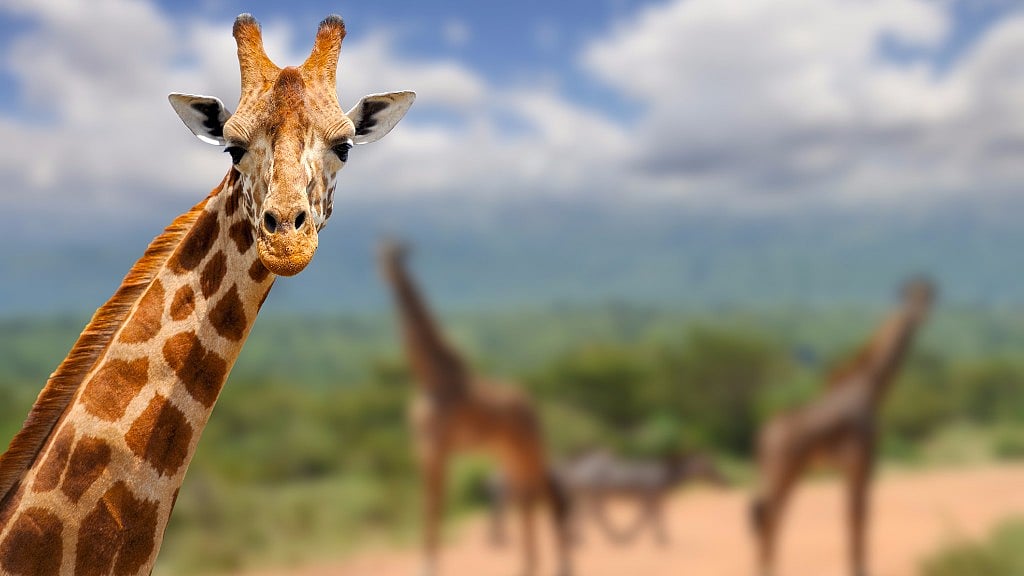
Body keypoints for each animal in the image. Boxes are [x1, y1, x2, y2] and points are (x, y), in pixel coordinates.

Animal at [376, 239, 572, 576]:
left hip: (529, 448)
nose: (384, 275)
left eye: (397, 259)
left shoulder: (437, 446)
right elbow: (429, 503)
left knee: (547, 494)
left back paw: (558, 566)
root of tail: (532, 405)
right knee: (526, 498)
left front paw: (428, 564)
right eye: (380, 255)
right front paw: (427, 561)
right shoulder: (422, 447)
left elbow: (434, 503)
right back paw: (527, 566)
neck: (430, 377)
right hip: (507, 453)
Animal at [750, 277, 936, 576]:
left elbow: (856, 517)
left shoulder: (858, 463)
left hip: (783, 472)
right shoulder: (862, 459)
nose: (920, 315)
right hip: (783, 471)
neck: (869, 388)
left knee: (766, 517)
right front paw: (860, 569)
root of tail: (763, 436)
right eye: (910, 297)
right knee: (770, 518)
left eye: (929, 296)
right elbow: (858, 517)